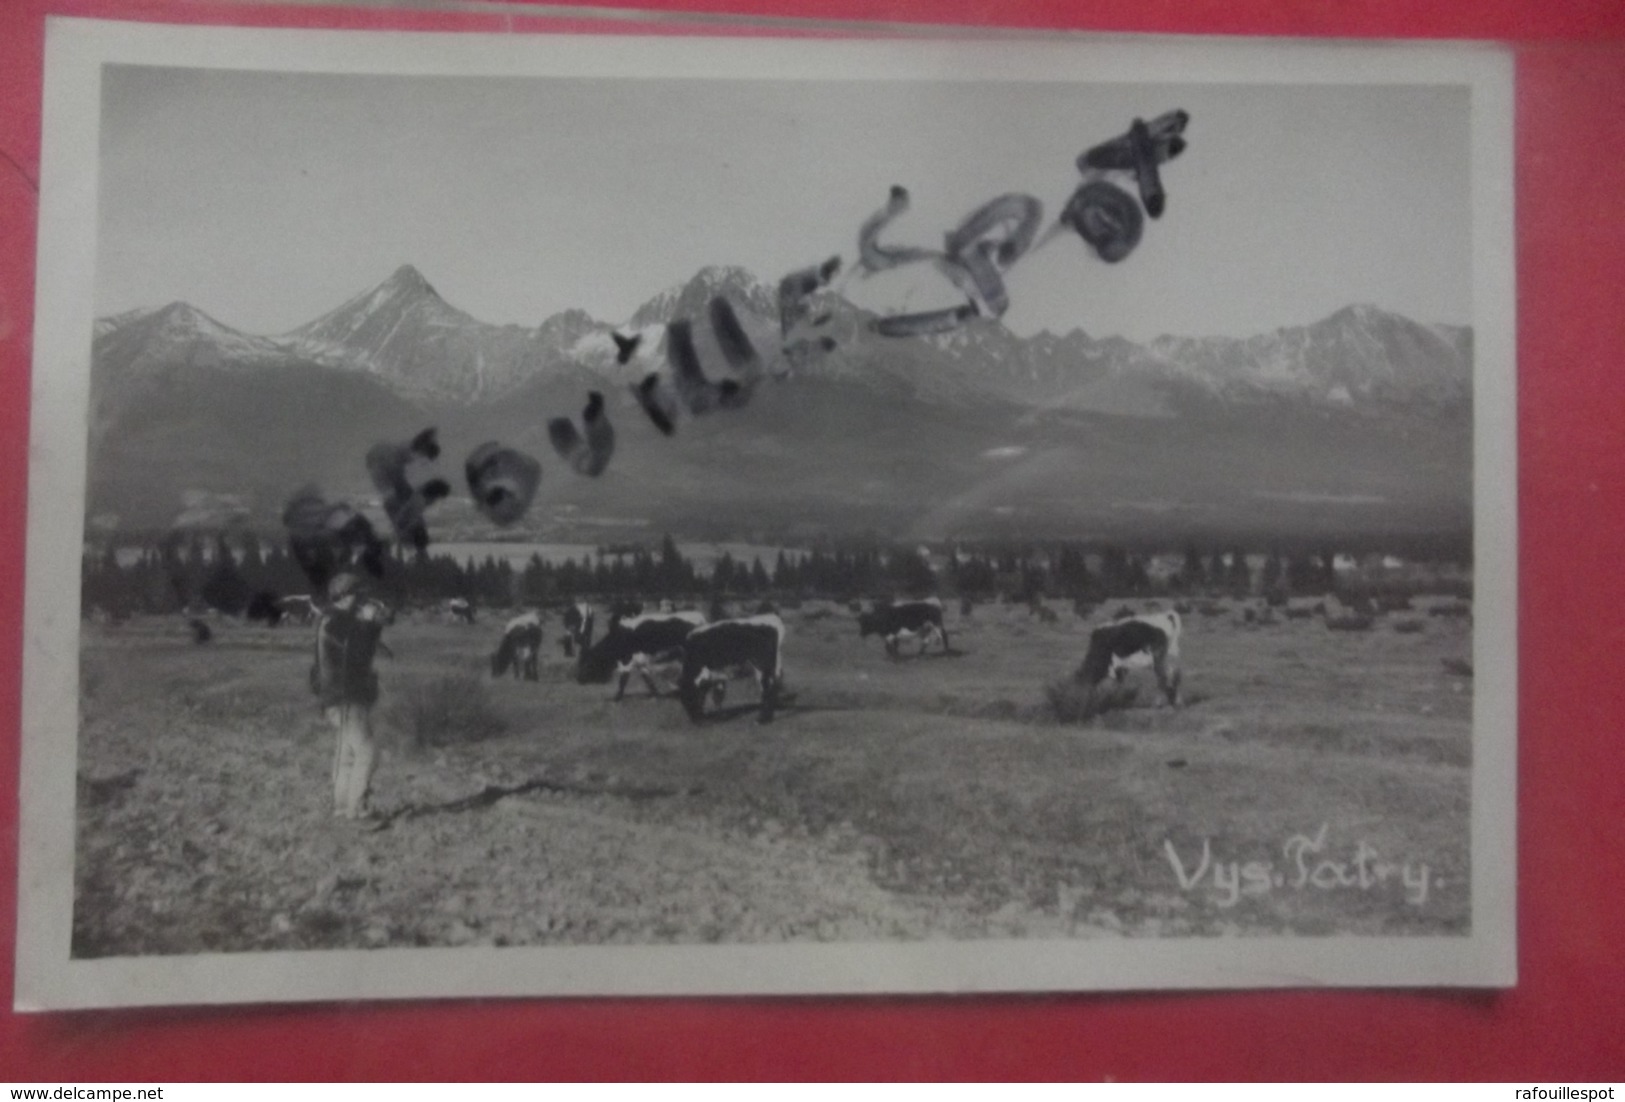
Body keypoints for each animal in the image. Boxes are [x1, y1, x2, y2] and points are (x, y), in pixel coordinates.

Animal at [572, 607, 705, 702]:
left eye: (587, 664)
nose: (579, 679)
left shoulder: (627, 661)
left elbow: (623, 681)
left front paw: (616, 699)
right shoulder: (640, 662)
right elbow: (648, 680)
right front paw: (656, 695)